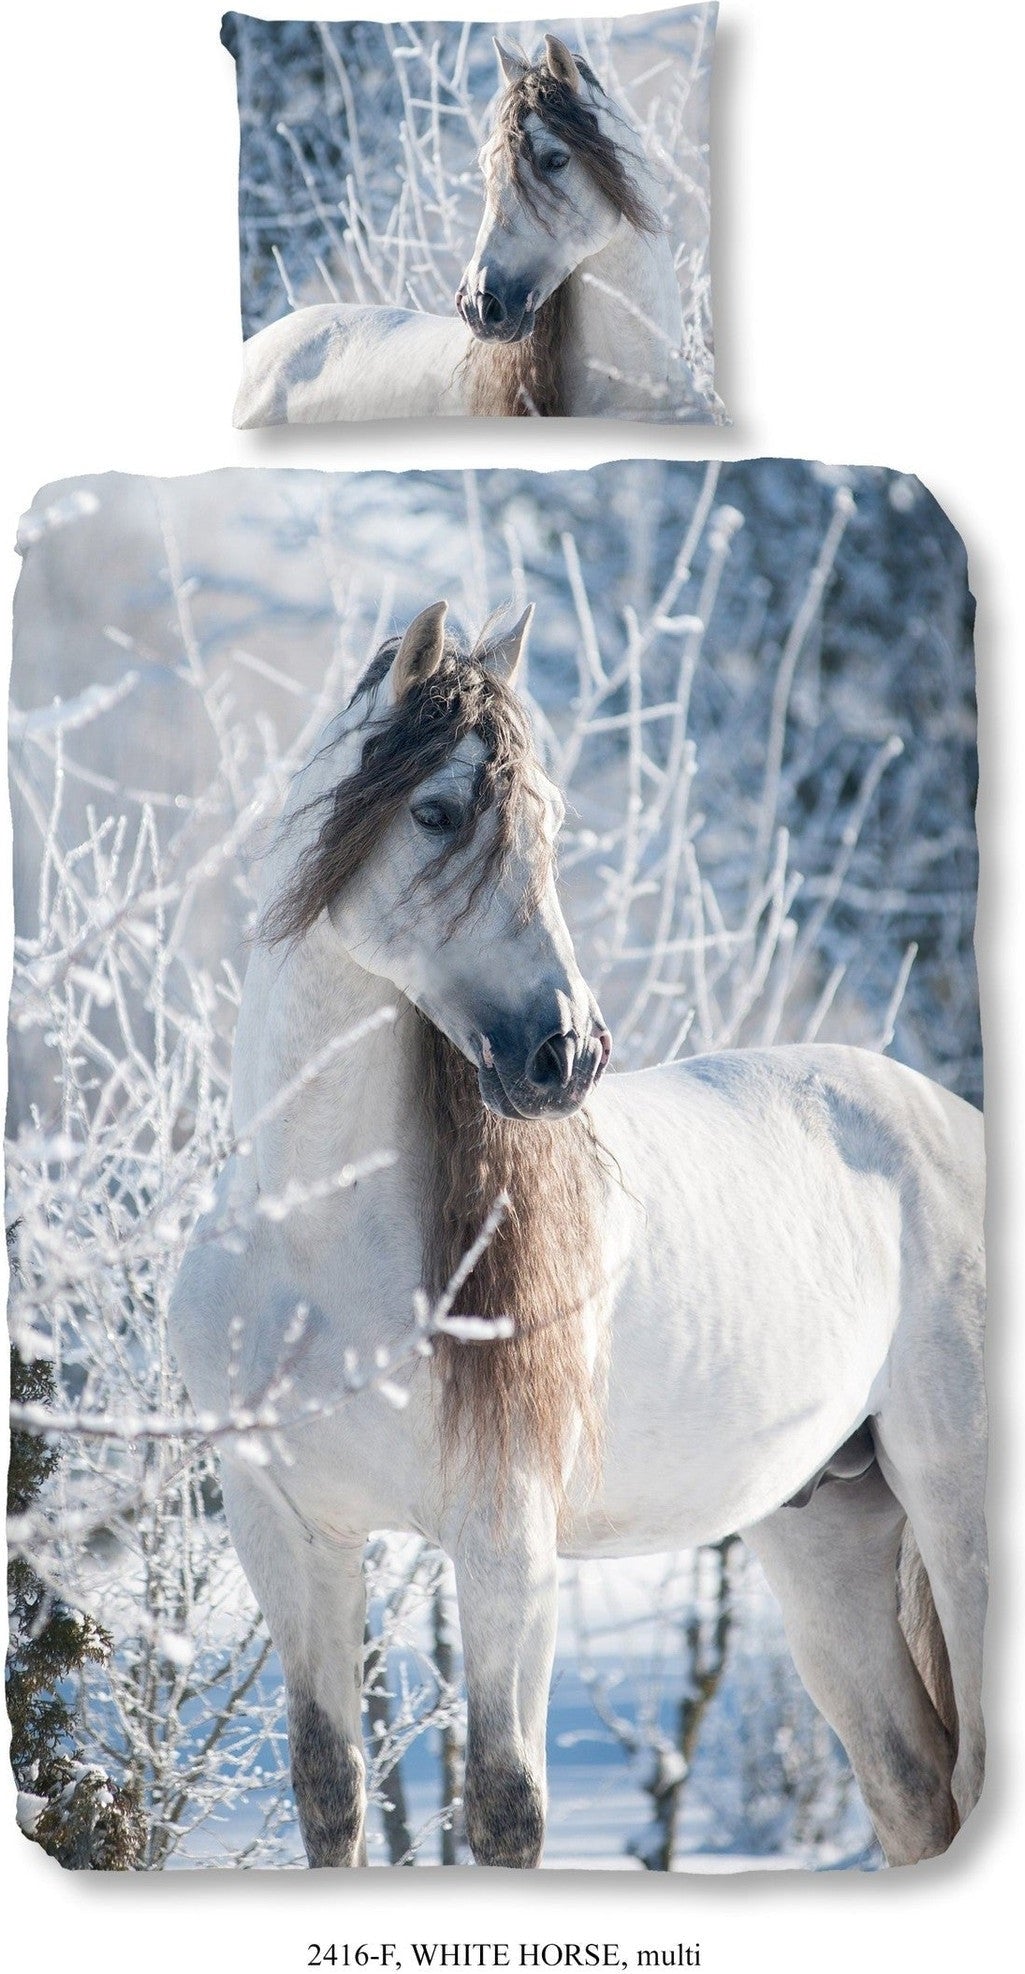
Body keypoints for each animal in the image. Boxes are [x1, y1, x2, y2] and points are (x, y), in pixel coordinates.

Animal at [168, 601, 987, 1870]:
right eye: (436, 810)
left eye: (548, 819)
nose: (566, 1054)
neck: (310, 1242)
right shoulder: (288, 1533)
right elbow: (329, 1788)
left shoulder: (505, 1540)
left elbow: (505, 1806)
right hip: (825, 1533)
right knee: (910, 1789)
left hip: (958, 1518)